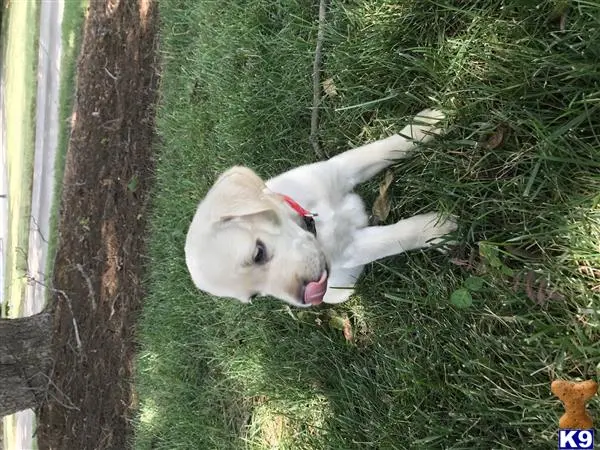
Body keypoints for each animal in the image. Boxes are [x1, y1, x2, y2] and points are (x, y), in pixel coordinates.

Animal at [185, 108, 458, 310]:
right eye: (255, 295)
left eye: (258, 253)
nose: (306, 298)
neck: (313, 220)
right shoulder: (351, 250)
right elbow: (392, 239)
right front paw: (436, 230)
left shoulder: (338, 169)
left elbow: (381, 149)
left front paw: (424, 126)